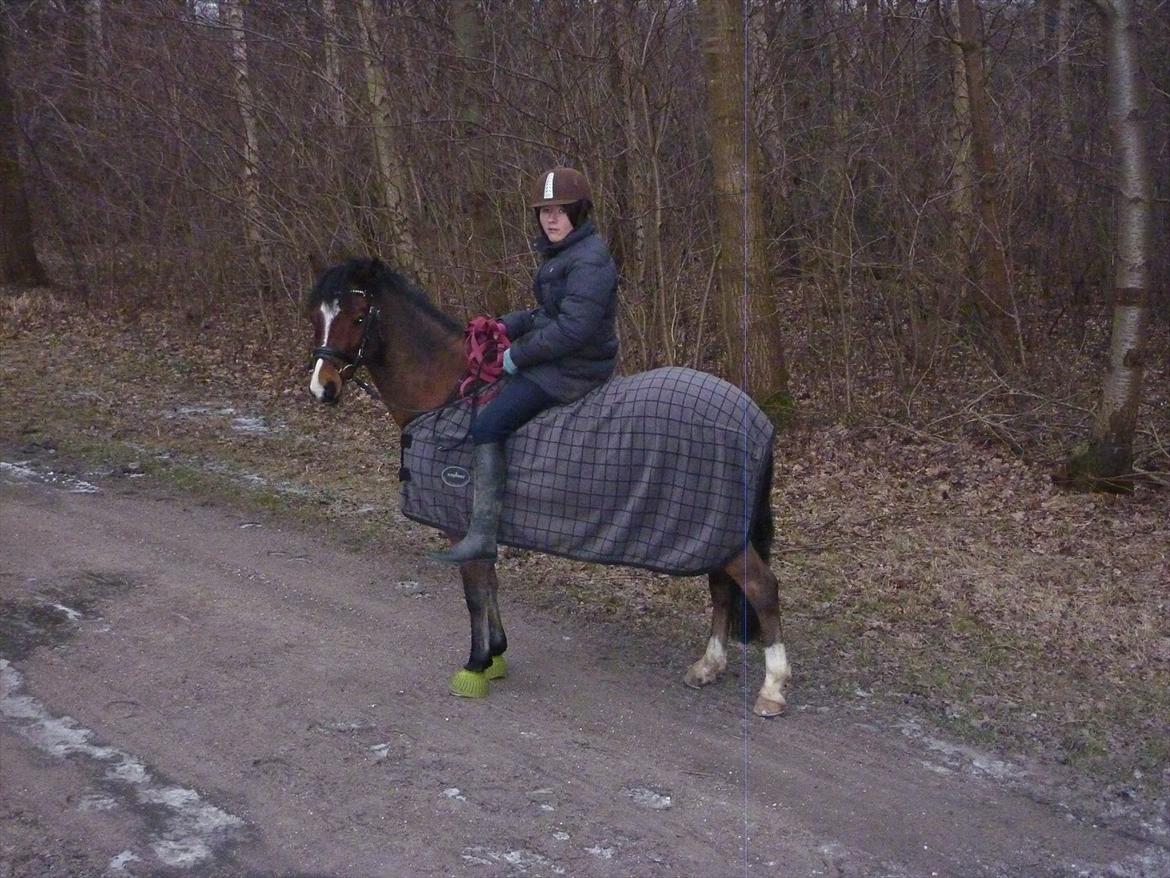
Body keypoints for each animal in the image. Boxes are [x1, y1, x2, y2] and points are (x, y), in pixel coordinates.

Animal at [306, 257, 791, 716]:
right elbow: (490, 583)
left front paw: (476, 665)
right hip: (716, 530)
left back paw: (771, 688)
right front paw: (496, 655)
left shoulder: (461, 525)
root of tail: (755, 418)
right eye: (317, 315)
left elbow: (474, 592)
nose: (322, 387)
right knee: (722, 589)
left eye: (358, 316)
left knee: (762, 588)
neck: (450, 393)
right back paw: (708, 666)